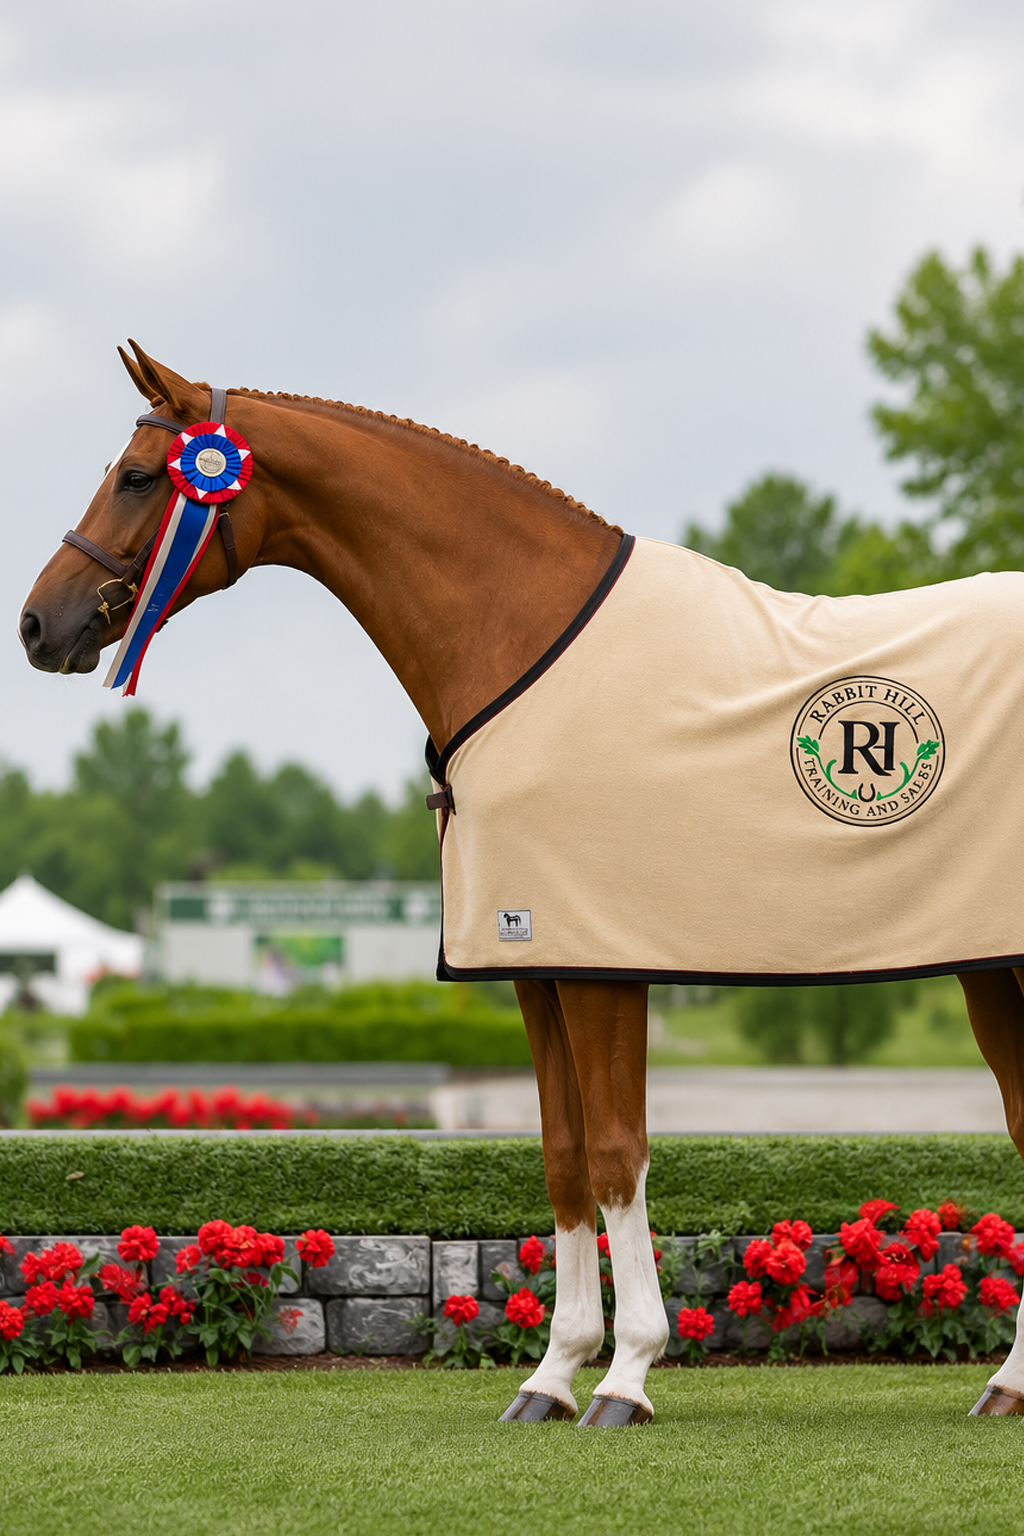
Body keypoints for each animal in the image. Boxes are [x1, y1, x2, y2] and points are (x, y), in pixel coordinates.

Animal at [18, 342, 1024, 1422]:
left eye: (137, 476)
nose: (37, 624)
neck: (521, 637)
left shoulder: (597, 967)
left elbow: (618, 1153)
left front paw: (626, 1377)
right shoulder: (533, 962)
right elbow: (562, 1158)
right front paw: (551, 1375)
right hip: (992, 972)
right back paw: (1006, 1385)